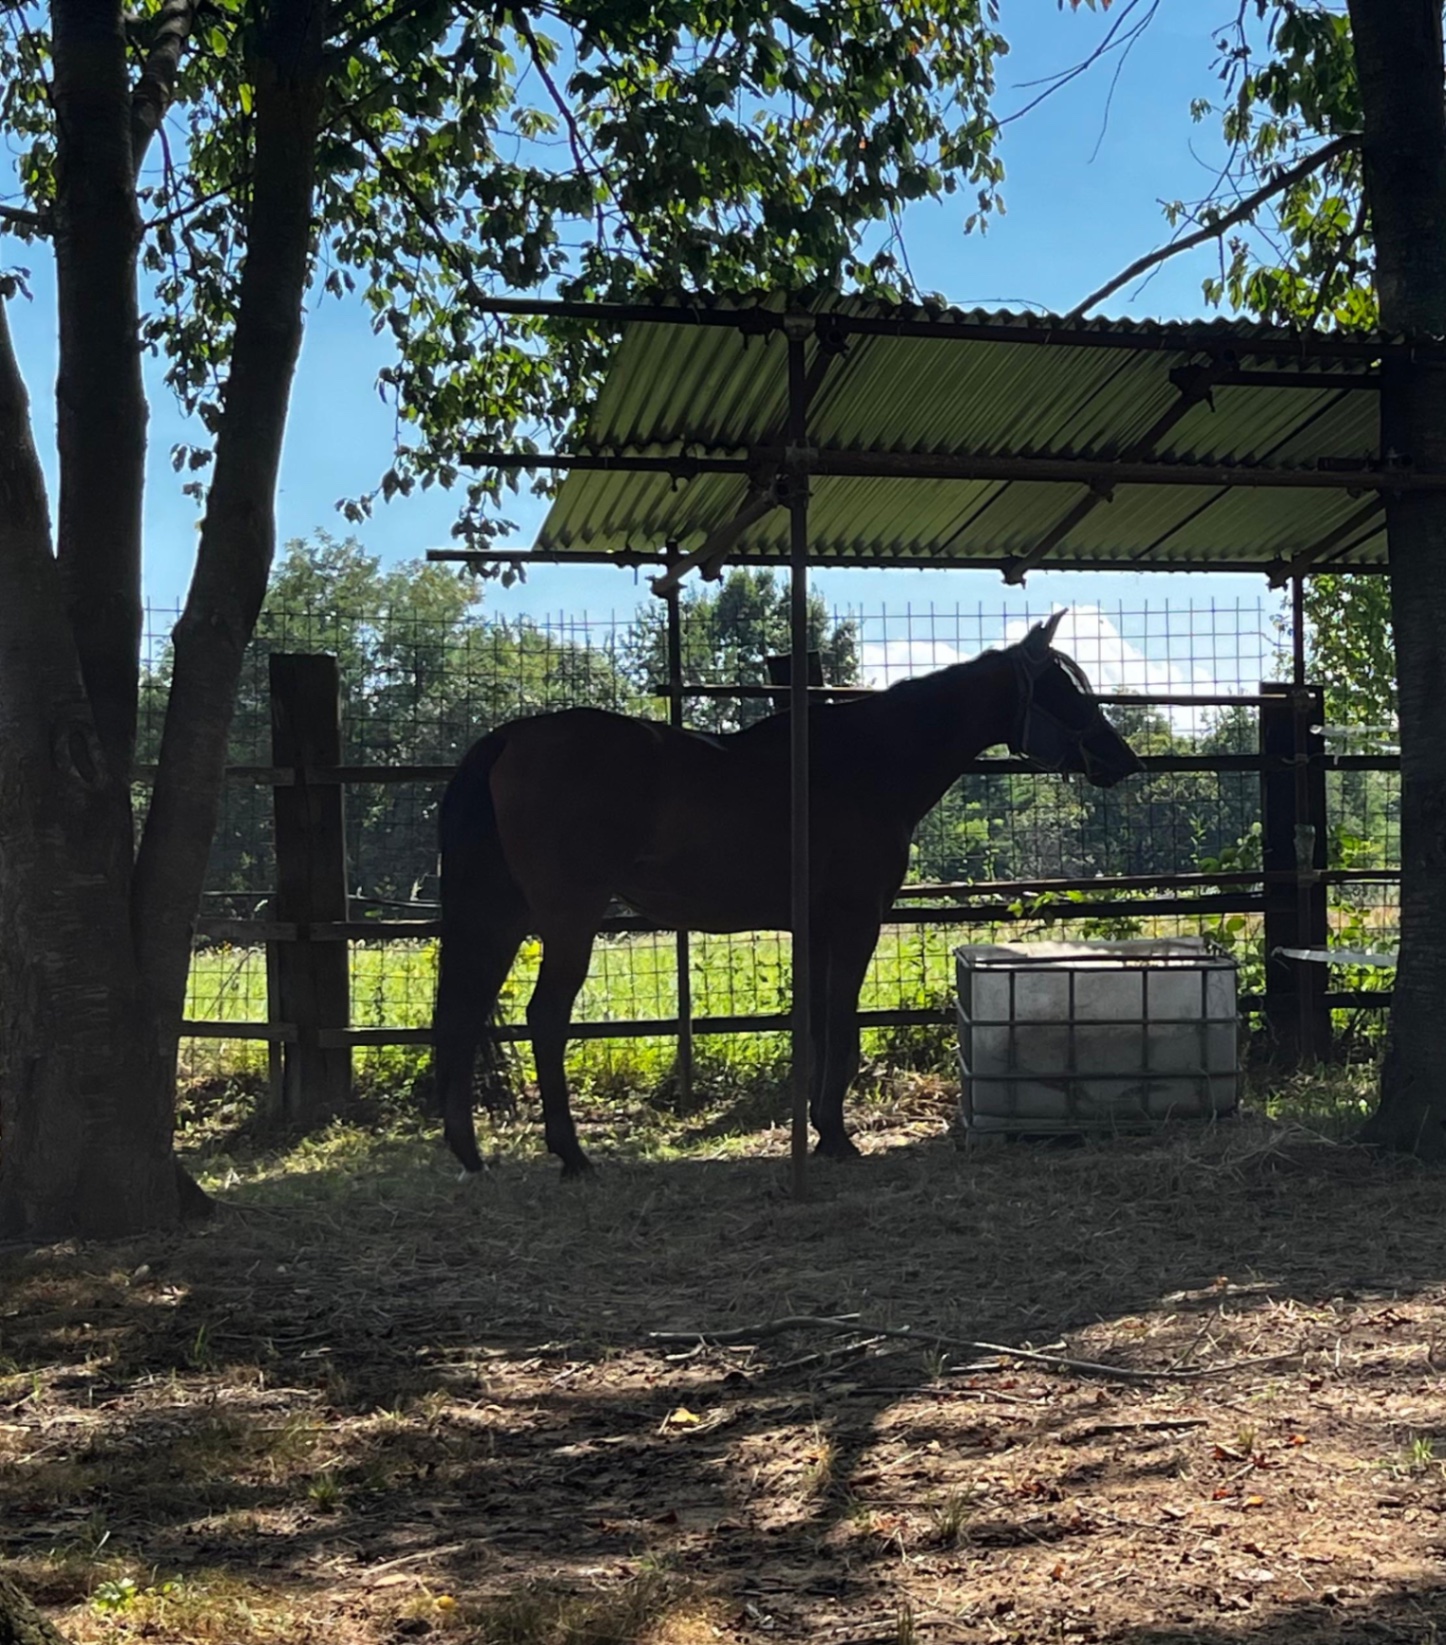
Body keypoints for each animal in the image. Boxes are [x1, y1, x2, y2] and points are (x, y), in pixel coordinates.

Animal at [431, 611, 1143, 1177]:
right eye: (1062, 691)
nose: (1123, 760)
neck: (866, 763)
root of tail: (510, 737)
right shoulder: (855, 921)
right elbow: (842, 1027)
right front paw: (837, 1134)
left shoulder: (818, 928)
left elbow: (819, 1027)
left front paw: (821, 1130)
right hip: (569, 918)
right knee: (545, 1018)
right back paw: (572, 1155)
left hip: (502, 918)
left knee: (462, 1014)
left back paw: (471, 1154)